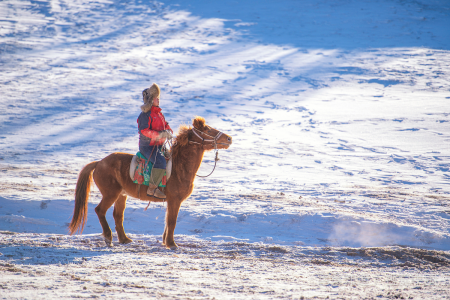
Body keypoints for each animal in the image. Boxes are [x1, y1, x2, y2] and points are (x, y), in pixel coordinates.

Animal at [69, 116, 236, 250]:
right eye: (208, 130)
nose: (229, 139)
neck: (180, 167)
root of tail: (99, 163)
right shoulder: (174, 200)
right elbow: (172, 221)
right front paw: (172, 244)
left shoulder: (171, 201)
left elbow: (168, 221)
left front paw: (166, 241)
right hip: (111, 194)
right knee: (100, 211)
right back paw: (108, 238)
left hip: (121, 195)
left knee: (118, 216)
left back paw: (125, 239)